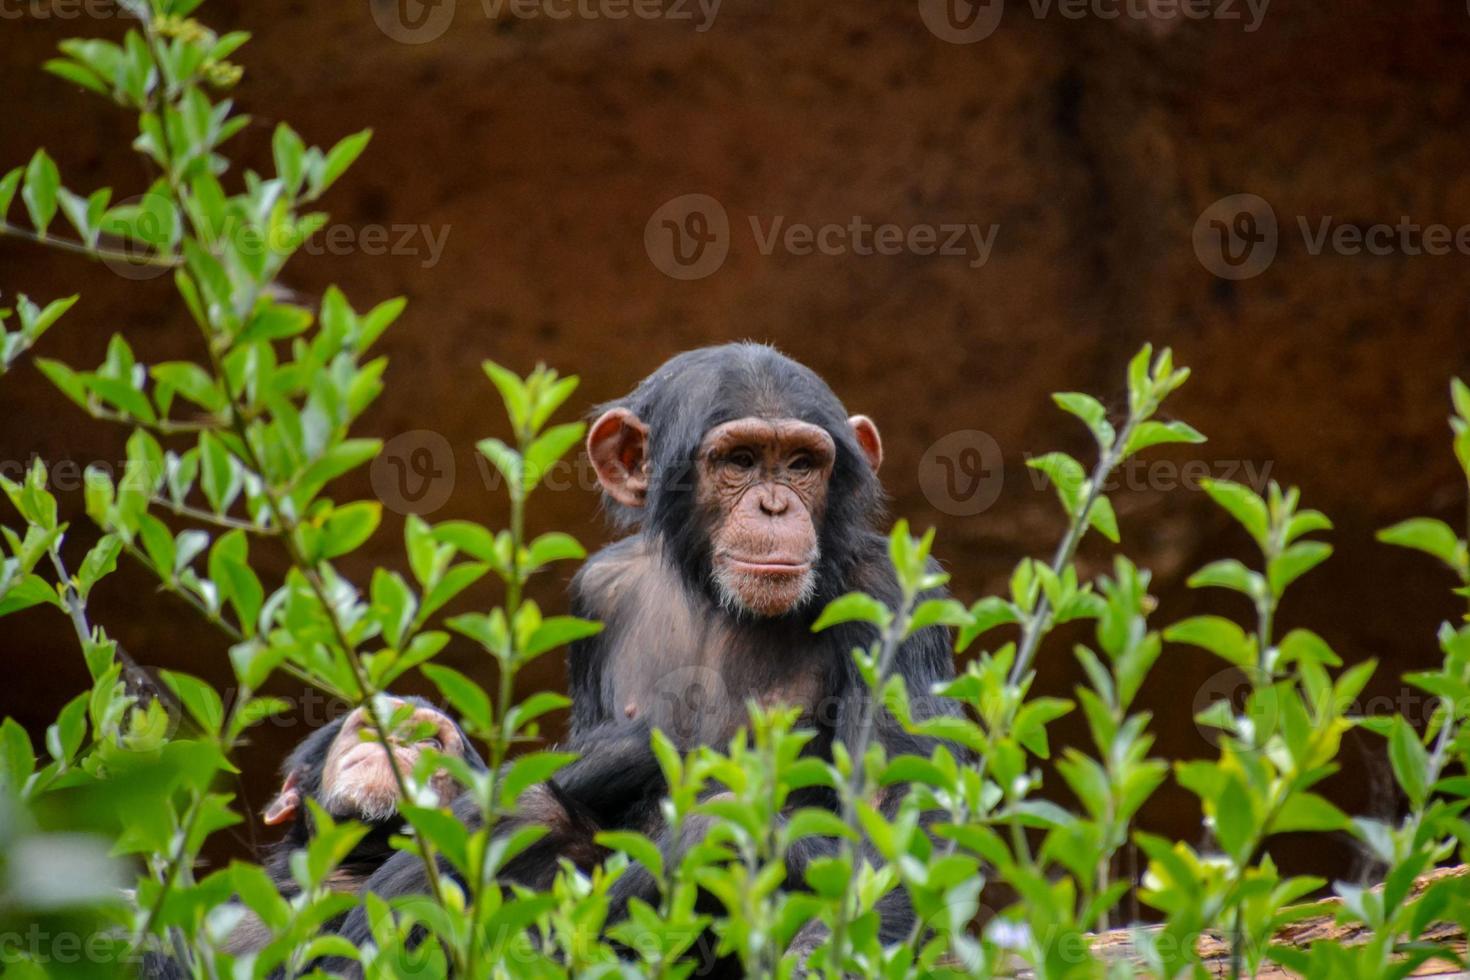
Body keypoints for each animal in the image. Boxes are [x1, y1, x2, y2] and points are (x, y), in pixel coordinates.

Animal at [336, 343, 958, 963]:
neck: (710, 590)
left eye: (803, 464)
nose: (775, 506)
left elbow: (897, 812)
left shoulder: (891, 592)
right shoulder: (595, 591)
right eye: (740, 461)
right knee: (526, 807)